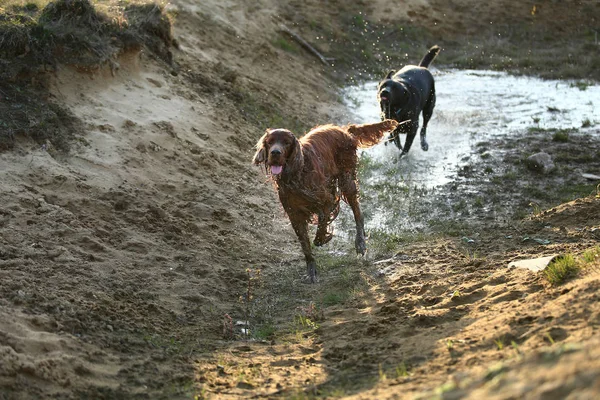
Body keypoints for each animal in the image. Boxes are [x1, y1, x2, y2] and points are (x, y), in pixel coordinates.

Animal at [253, 120, 398, 282]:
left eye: (286, 142)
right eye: (270, 142)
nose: (275, 153)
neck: (297, 173)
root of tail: (344, 130)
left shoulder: (327, 199)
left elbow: (322, 224)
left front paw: (322, 238)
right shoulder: (294, 213)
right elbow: (305, 244)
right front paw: (311, 269)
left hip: (347, 180)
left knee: (357, 212)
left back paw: (360, 243)